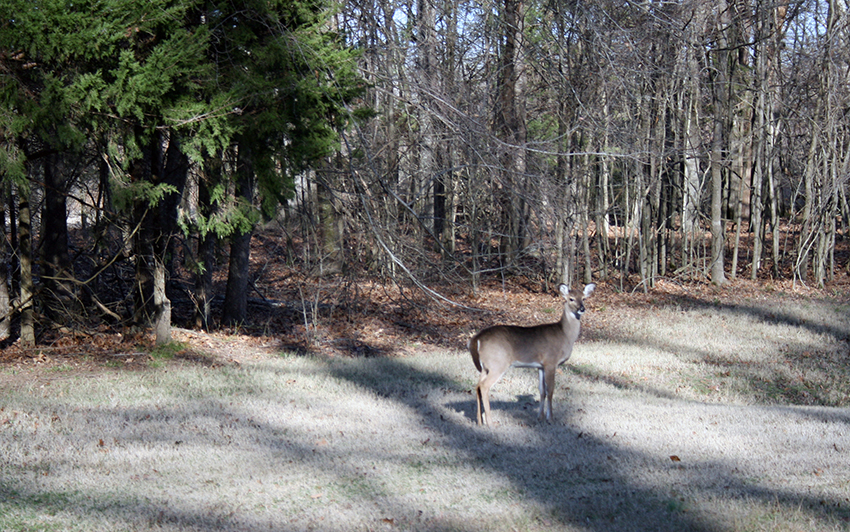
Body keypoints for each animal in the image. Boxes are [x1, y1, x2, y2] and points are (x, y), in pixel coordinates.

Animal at [469, 283, 596, 426]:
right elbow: (550, 390)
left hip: (486, 366)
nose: (582, 309)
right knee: (484, 386)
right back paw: (490, 422)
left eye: (584, 298)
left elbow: (542, 391)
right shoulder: (551, 361)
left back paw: (480, 421)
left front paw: (540, 417)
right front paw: (550, 419)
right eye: (571, 299)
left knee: (477, 386)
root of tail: (476, 338)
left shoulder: (540, 366)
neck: (565, 335)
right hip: (498, 363)